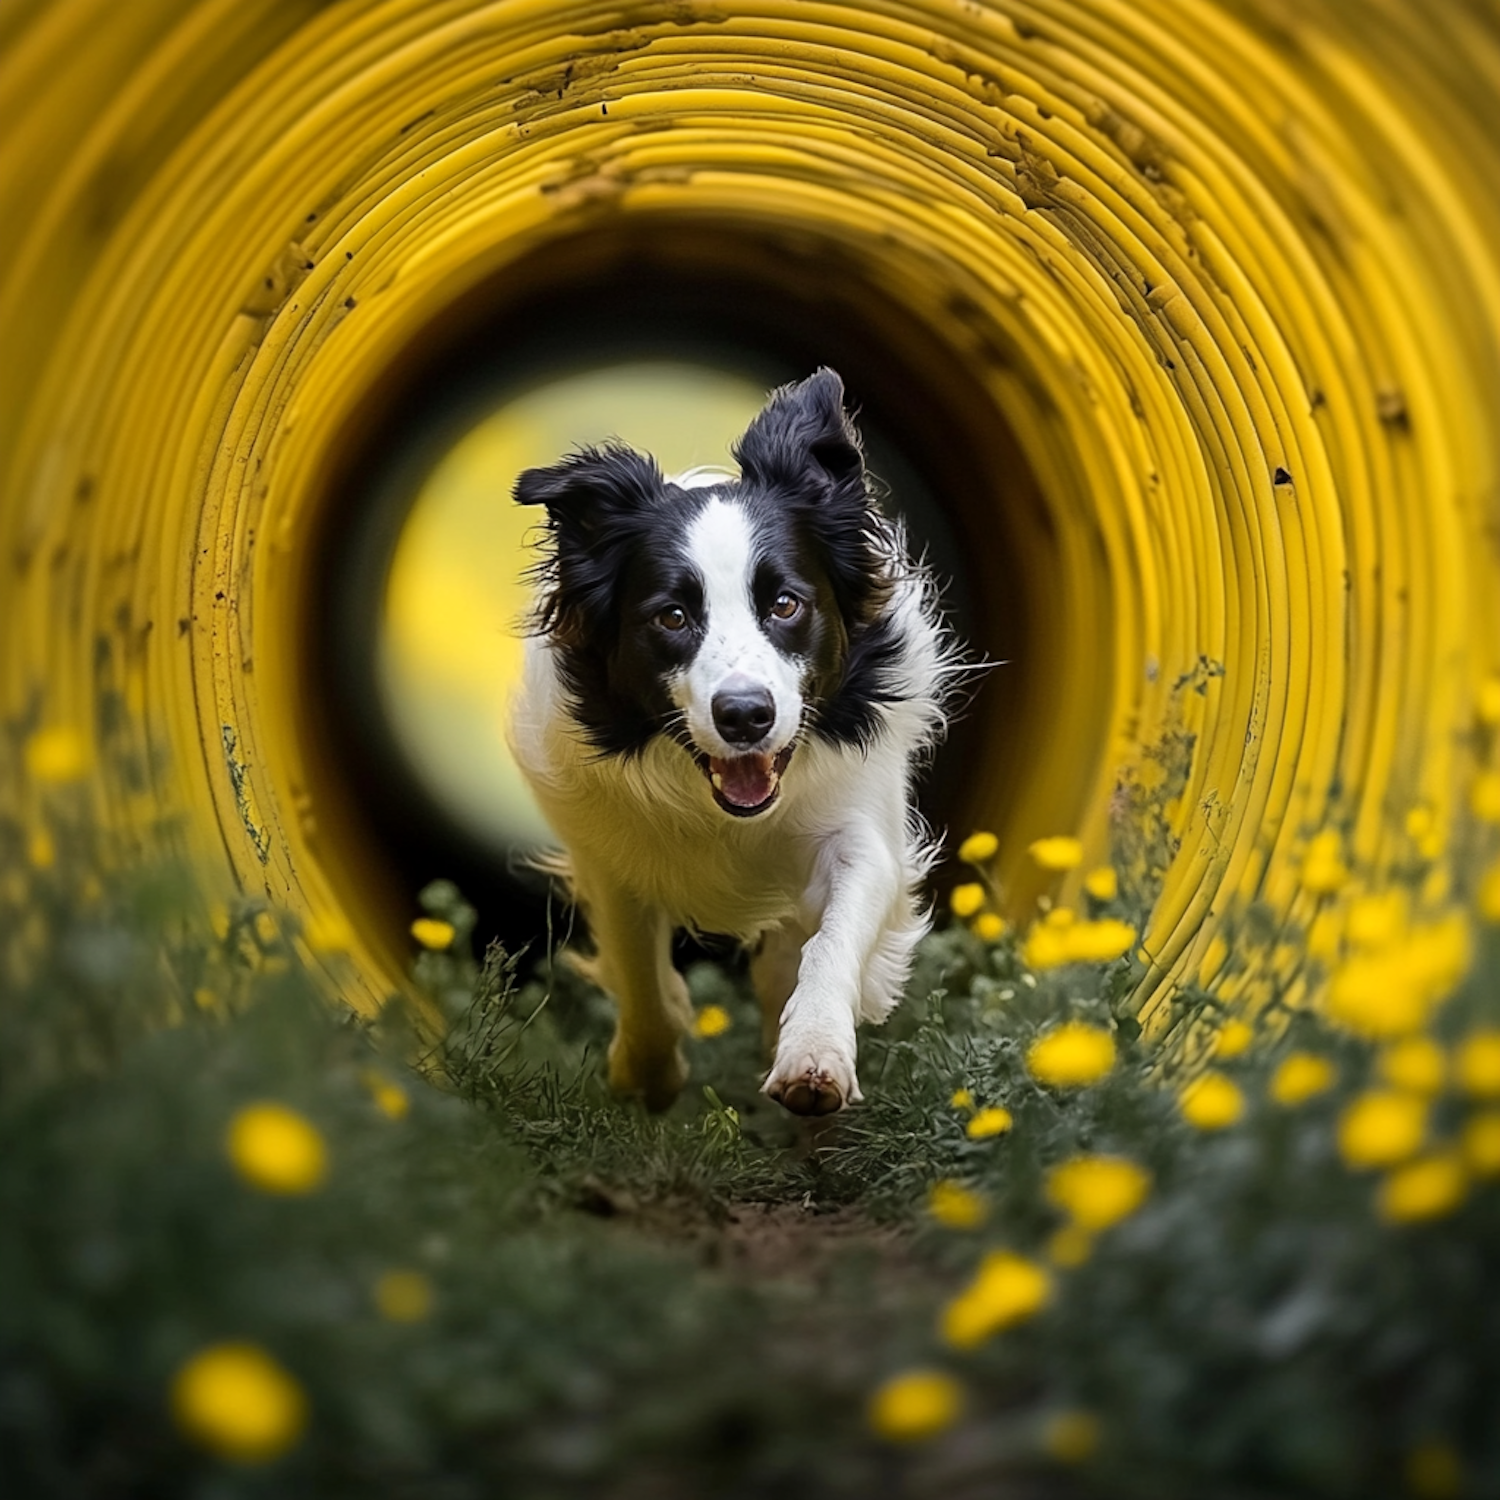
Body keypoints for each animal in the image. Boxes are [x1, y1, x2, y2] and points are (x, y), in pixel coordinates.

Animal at [510, 366, 954, 1116]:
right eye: (672, 616)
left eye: (785, 604)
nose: (745, 715)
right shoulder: (610, 848)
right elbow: (637, 964)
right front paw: (648, 1075)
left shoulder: (859, 821)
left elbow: (833, 935)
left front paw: (813, 1057)